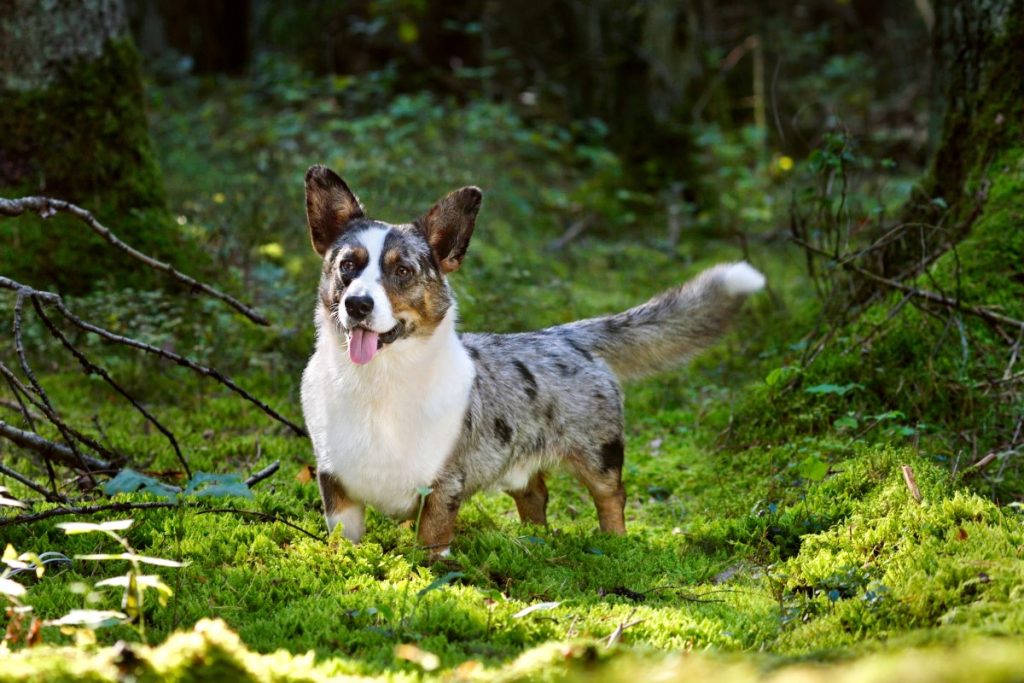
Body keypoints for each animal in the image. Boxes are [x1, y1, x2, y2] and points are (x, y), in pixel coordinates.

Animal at [299, 165, 765, 557]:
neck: (378, 382)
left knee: (611, 495)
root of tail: (567, 334)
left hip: (599, 453)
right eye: (347, 265)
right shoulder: (334, 482)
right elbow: (344, 535)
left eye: (403, 272)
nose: (358, 305)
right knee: (535, 493)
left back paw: (614, 543)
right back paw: (533, 539)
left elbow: (431, 538)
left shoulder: (444, 482)